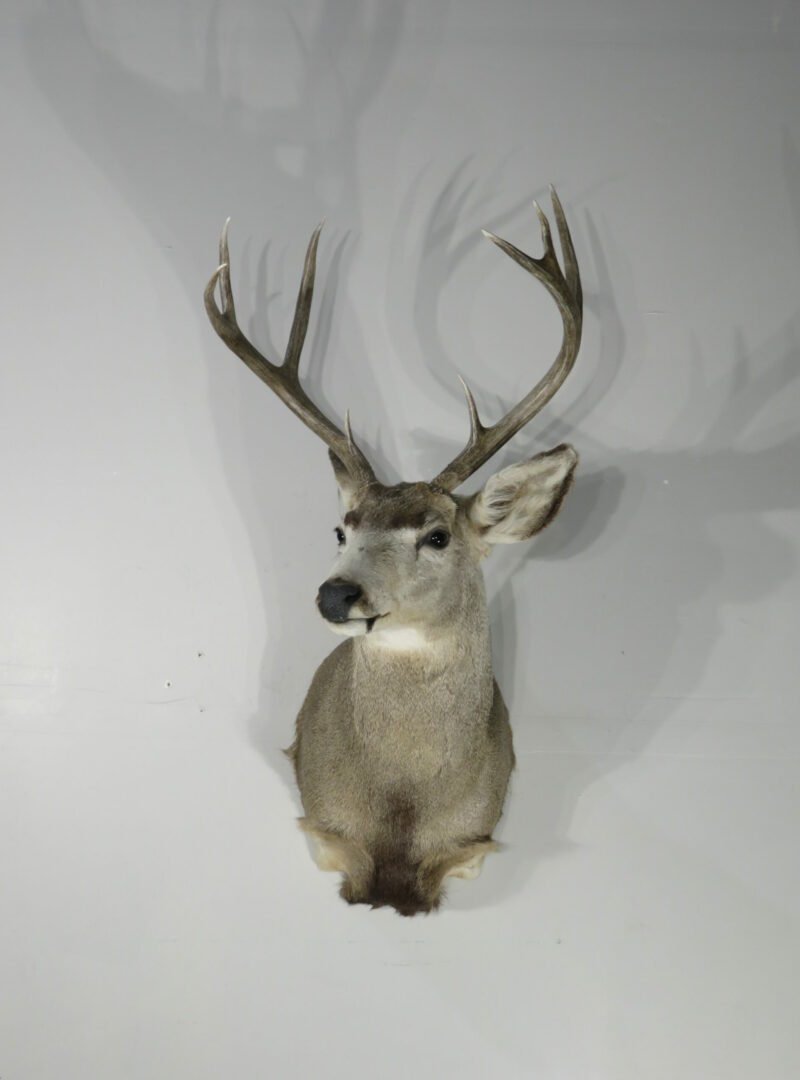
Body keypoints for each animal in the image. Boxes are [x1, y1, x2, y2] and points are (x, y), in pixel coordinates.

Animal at [204, 188, 583, 916]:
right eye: (341, 529)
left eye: (437, 535)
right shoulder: (323, 826)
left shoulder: (473, 840)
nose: (335, 593)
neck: (402, 816)